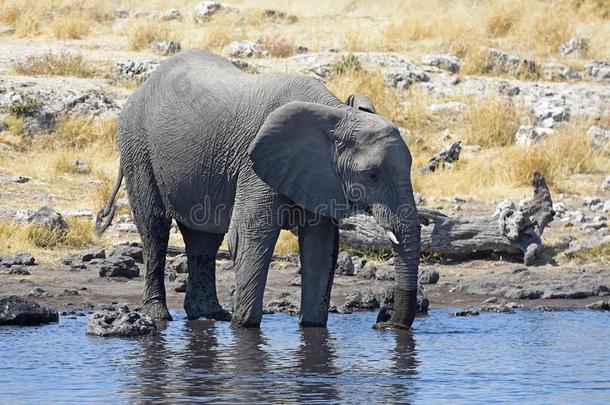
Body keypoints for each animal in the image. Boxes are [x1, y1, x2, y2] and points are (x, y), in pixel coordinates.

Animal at [96, 49, 418, 328]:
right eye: (371, 175)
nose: (385, 322)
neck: (336, 112)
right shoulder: (254, 167)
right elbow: (250, 234)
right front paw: (244, 327)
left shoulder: (320, 176)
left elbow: (322, 244)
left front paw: (312, 326)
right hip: (138, 147)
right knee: (155, 229)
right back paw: (159, 316)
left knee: (203, 237)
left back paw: (210, 315)